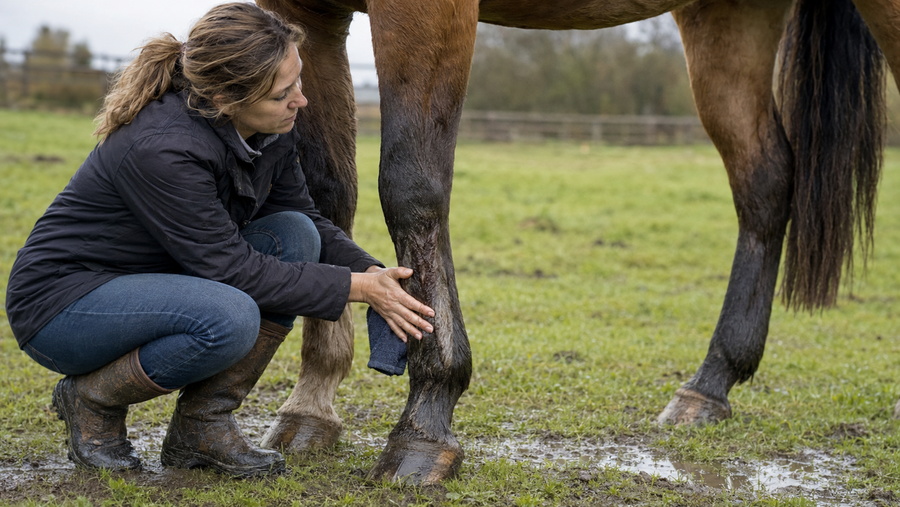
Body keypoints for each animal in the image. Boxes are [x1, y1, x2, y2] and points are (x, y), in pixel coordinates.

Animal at [253, 0, 898, 485]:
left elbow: (411, 184)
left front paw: (426, 416)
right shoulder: (306, 10)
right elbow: (322, 193)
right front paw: (312, 402)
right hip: (728, 22)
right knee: (764, 182)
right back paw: (711, 383)